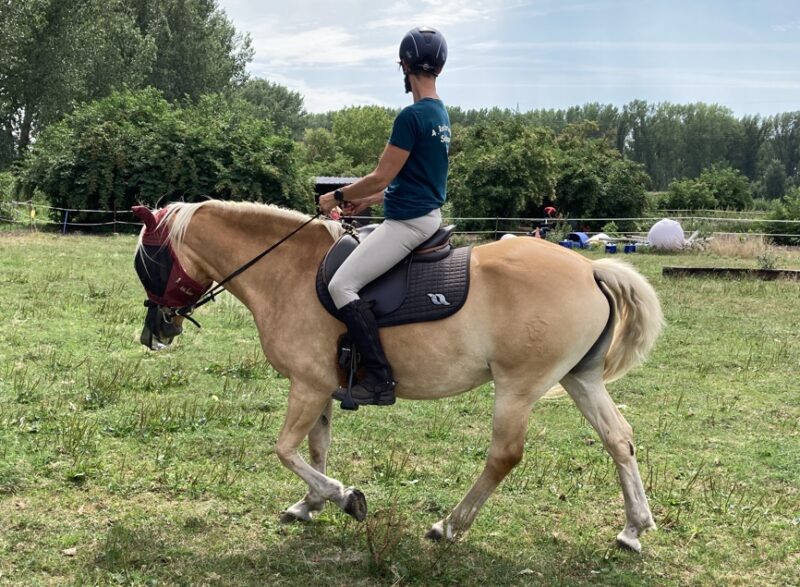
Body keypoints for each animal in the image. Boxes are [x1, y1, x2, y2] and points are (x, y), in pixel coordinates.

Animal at [134, 200, 664, 552]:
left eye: (150, 262)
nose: (154, 332)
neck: (288, 270)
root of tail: (591, 270)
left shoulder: (307, 385)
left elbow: (285, 449)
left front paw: (345, 497)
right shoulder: (320, 385)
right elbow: (316, 447)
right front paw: (310, 503)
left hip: (517, 388)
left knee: (504, 456)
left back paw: (449, 526)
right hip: (580, 378)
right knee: (619, 439)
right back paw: (633, 528)